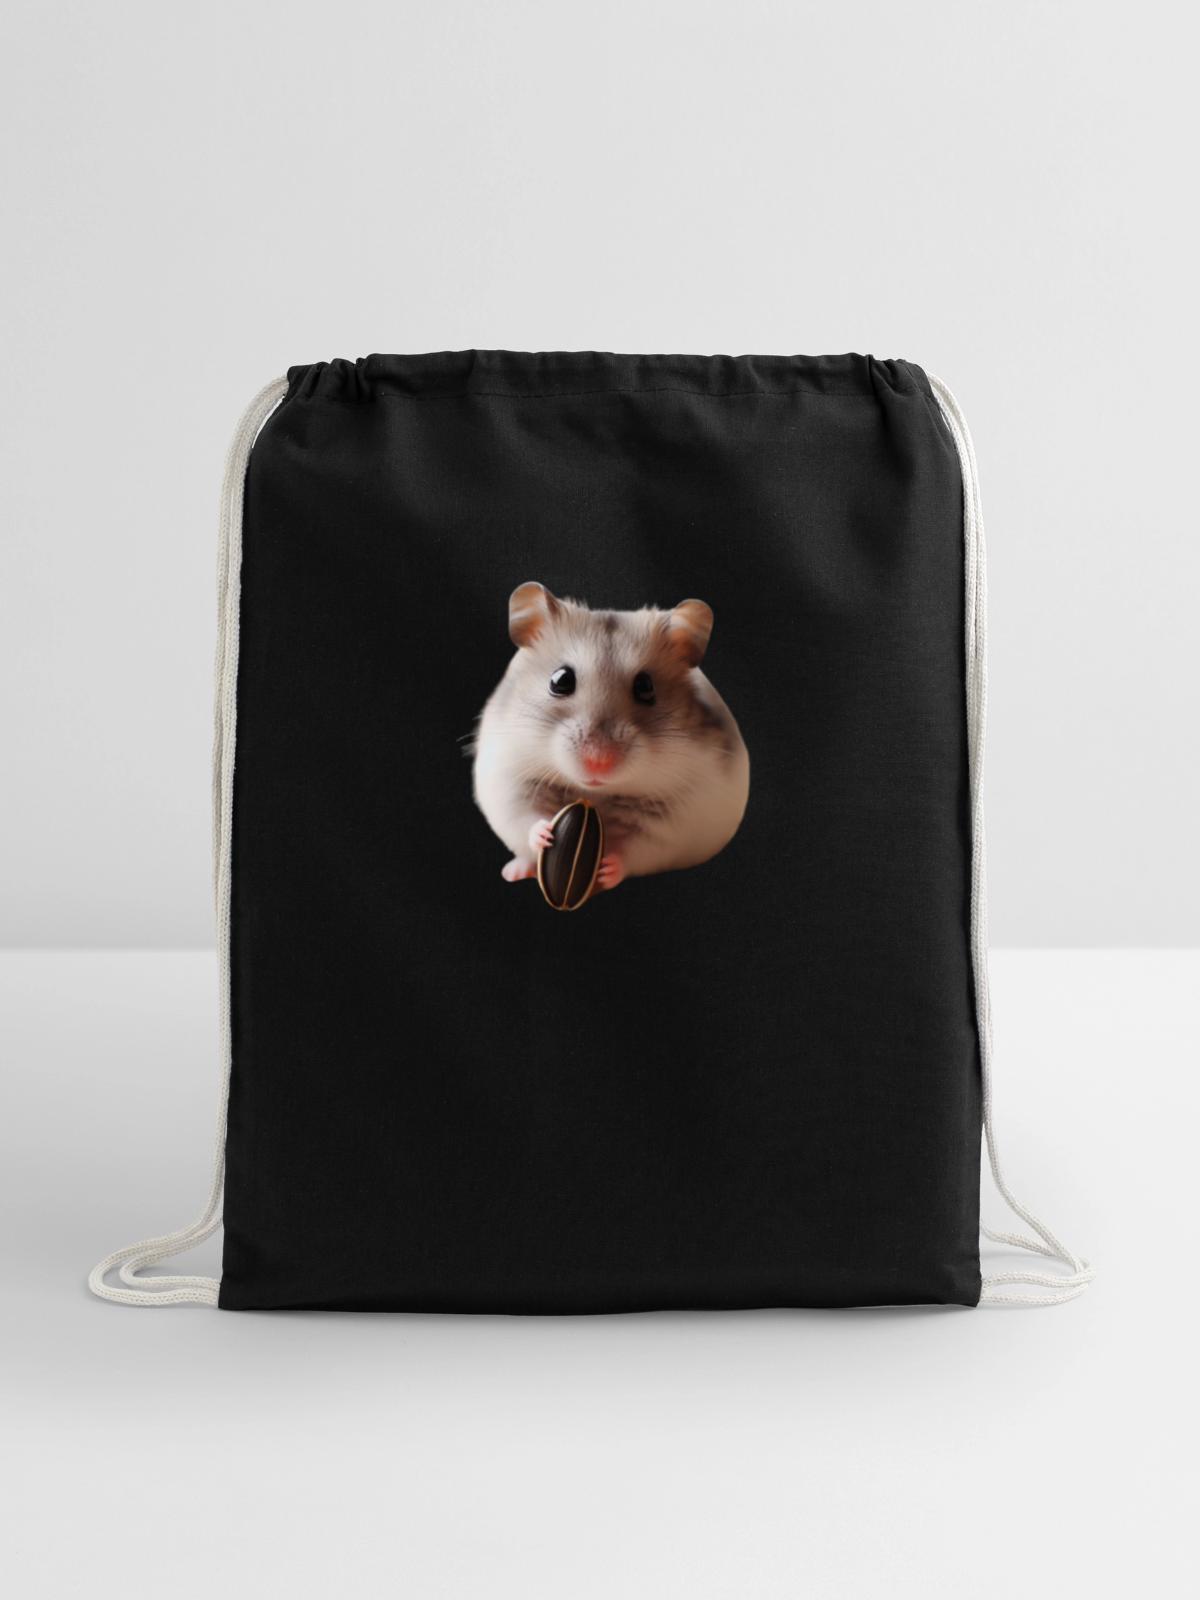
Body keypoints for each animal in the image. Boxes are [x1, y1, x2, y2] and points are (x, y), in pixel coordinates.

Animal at [472, 582, 750, 891]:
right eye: (560, 680)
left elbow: (633, 849)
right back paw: (514, 872)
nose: (598, 763)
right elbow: (525, 819)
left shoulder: (671, 821)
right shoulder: (508, 782)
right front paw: (544, 834)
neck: (594, 793)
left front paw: (607, 870)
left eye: (645, 687)